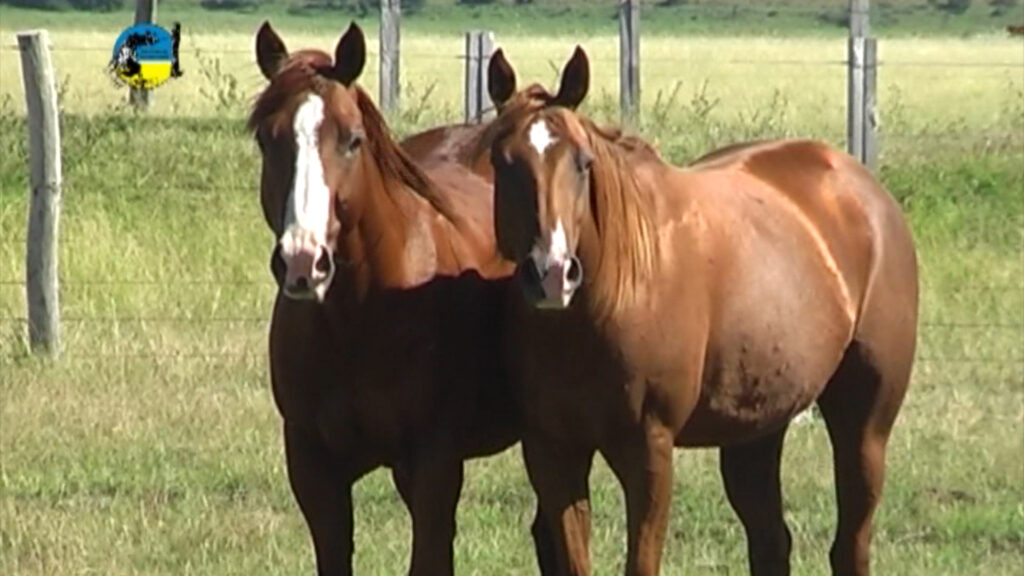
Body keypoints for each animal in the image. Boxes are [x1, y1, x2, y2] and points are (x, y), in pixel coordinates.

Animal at [248, 21, 555, 576]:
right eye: (267, 139)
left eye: (352, 140)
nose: (303, 262)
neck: (362, 313)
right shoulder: (313, 468)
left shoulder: (434, 460)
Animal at [483, 47, 919, 576]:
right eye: (502, 162)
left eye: (582, 163)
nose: (552, 273)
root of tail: (866, 191)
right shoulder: (552, 449)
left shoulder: (648, 449)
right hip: (756, 430)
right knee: (771, 541)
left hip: (865, 425)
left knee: (850, 544)